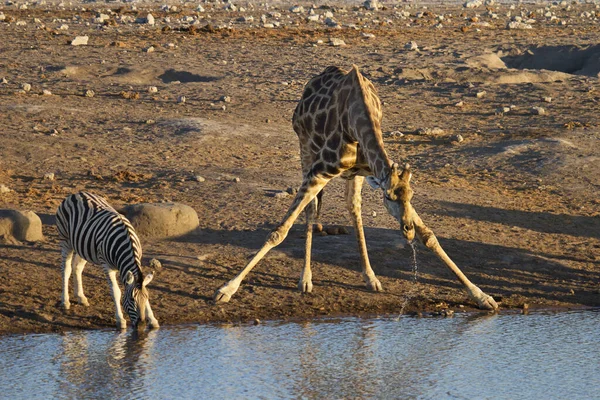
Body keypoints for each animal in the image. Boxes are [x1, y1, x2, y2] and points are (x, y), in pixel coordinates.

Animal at [55, 192, 159, 330]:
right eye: (132, 300)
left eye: (146, 298)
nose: (141, 325)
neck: (126, 243)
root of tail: (76, 194)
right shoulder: (107, 266)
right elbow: (116, 291)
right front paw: (120, 320)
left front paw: (153, 320)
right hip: (66, 241)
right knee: (65, 270)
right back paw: (65, 301)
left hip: (83, 247)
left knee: (77, 267)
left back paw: (81, 297)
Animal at [214, 65, 496, 310]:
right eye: (388, 197)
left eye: (410, 195)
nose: (407, 229)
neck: (358, 119)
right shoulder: (320, 171)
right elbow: (279, 232)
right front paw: (226, 289)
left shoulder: (371, 170)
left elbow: (429, 236)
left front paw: (482, 296)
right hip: (305, 149)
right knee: (311, 209)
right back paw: (306, 279)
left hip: (353, 175)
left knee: (353, 209)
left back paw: (370, 277)